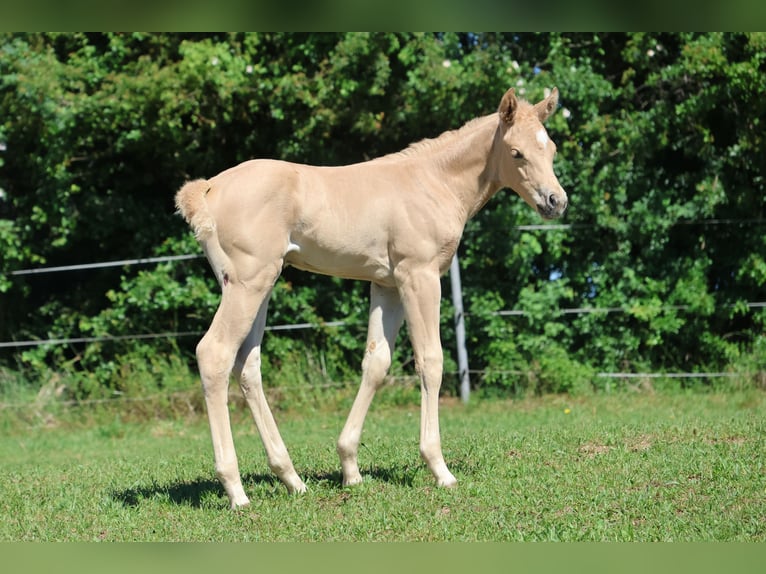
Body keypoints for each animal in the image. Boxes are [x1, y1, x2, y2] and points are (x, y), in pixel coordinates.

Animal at [176, 86, 568, 508]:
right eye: (516, 152)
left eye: (551, 148)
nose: (556, 201)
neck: (434, 182)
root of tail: (209, 188)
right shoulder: (419, 277)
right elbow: (430, 361)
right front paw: (440, 469)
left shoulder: (387, 285)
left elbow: (376, 363)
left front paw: (350, 469)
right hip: (249, 283)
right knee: (214, 353)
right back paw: (236, 491)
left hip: (254, 285)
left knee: (247, 365)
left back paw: (292, 479)